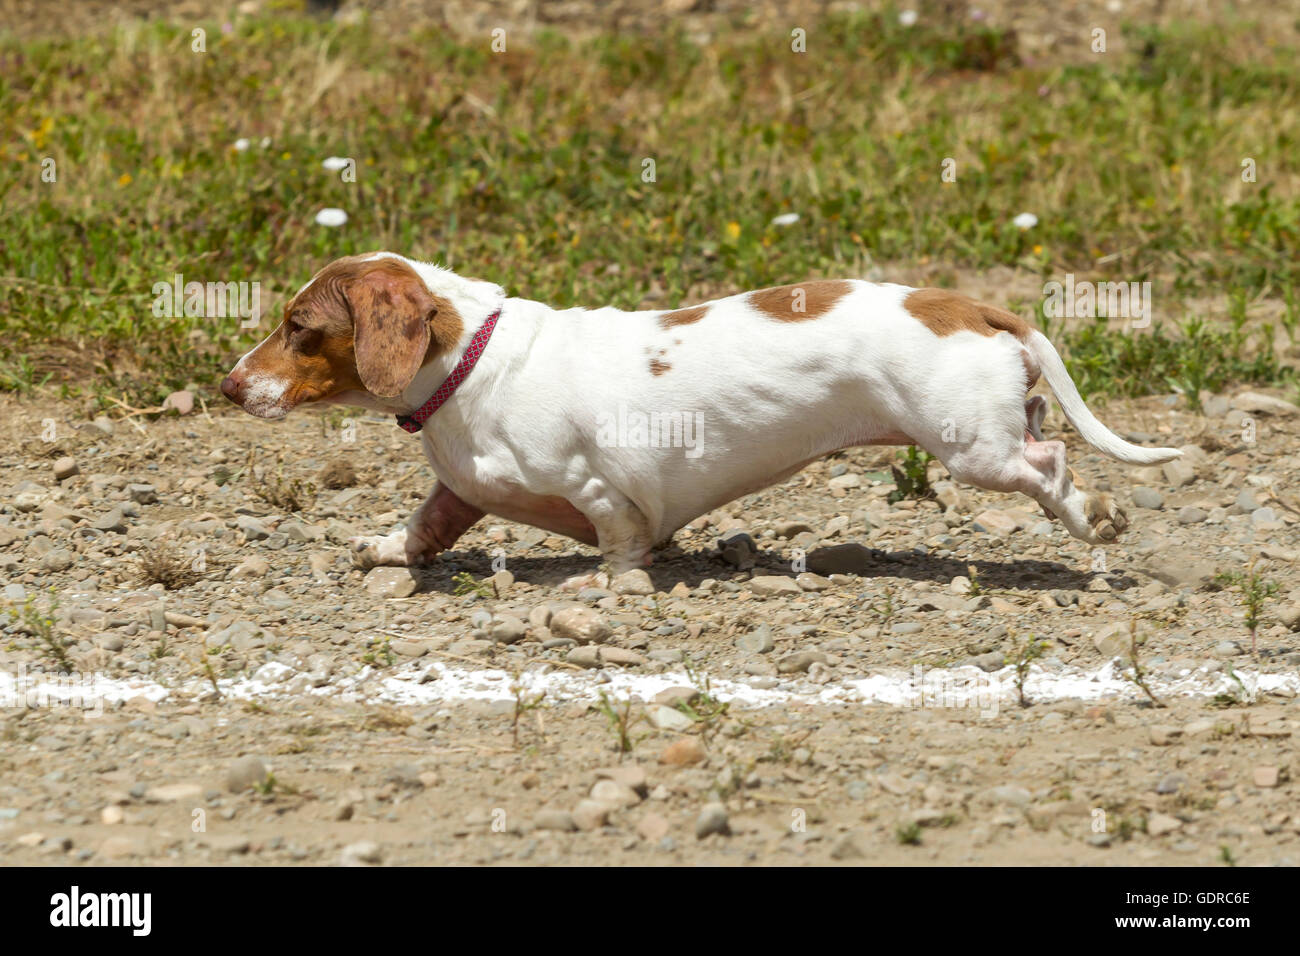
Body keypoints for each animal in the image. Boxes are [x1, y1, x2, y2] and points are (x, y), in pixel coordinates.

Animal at [220, 251, 1180, 572]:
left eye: (299, 327)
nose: (229, 386)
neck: (476, 361)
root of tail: (969, 305)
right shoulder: (461, 489)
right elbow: (426, 525)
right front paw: (387, 547)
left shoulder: (600, 488)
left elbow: (619, 541)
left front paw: (613, 584)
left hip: (973, 449)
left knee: (1052, 466)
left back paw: (1095, 518)